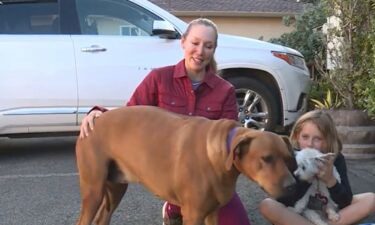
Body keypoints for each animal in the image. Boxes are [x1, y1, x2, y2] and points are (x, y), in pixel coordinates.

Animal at [75, 105, 296, 225]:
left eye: (287, 158)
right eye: (266, 158)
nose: (292, 186)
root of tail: (96, 119)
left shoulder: (212, 213)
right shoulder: (193, 215)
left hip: (116, 188)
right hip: (93, 191)